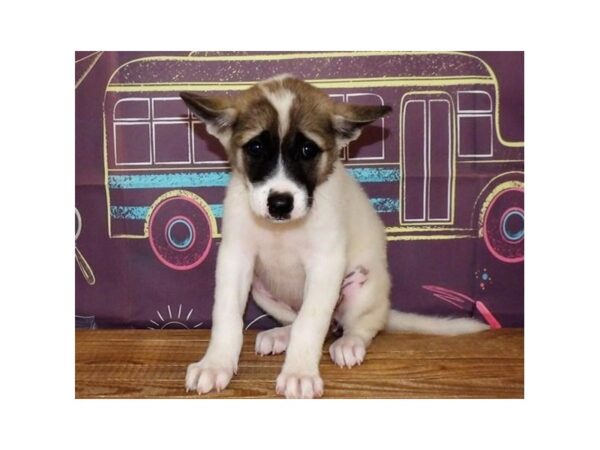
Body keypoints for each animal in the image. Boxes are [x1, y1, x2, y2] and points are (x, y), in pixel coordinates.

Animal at [179, 75, 488, 400]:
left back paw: (349, 343)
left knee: (362, 325)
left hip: (363, 287)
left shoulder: (326, 265)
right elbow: (227, 317)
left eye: (307, 150)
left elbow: (311, 324)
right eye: (256, 147)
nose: (280, 204)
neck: (282, 229)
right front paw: (215, 364)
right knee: (304, 321)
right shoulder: (235, 259)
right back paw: (281, 335)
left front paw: (299, 372)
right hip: (262, 292)